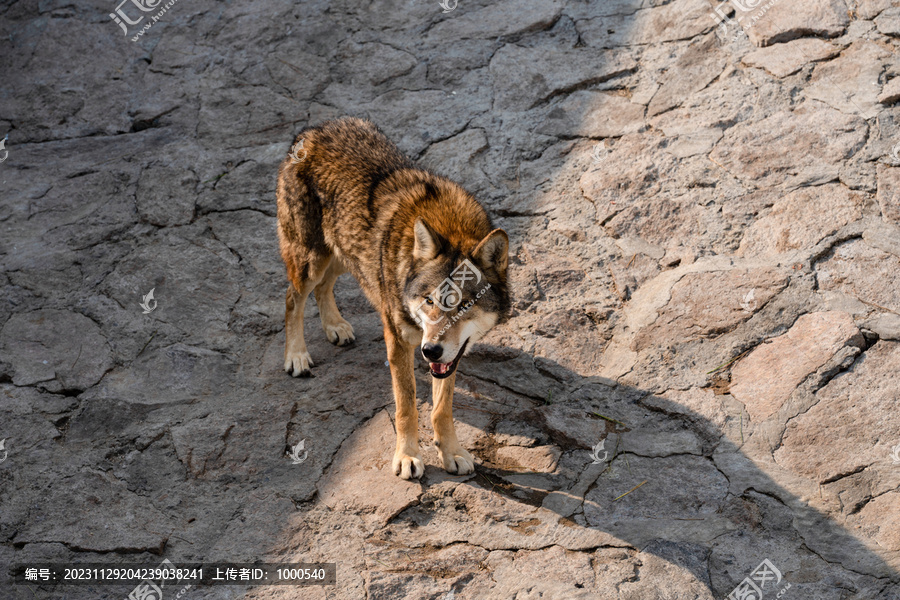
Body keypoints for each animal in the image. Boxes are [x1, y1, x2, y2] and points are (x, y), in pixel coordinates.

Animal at [274, 119, 510, 480]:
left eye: (464, 305)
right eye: (429, 301)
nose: (430, 350)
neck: (448, 224)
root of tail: (312, 130)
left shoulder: (449, 357)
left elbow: (442, 408)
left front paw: (452, 452)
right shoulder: (398, 341)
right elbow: (407, 406)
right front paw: (408, 457)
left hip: (346, 253)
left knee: (324, 286)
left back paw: (335, 326)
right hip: (311, 258)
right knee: (293, 297)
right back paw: (297, 356)